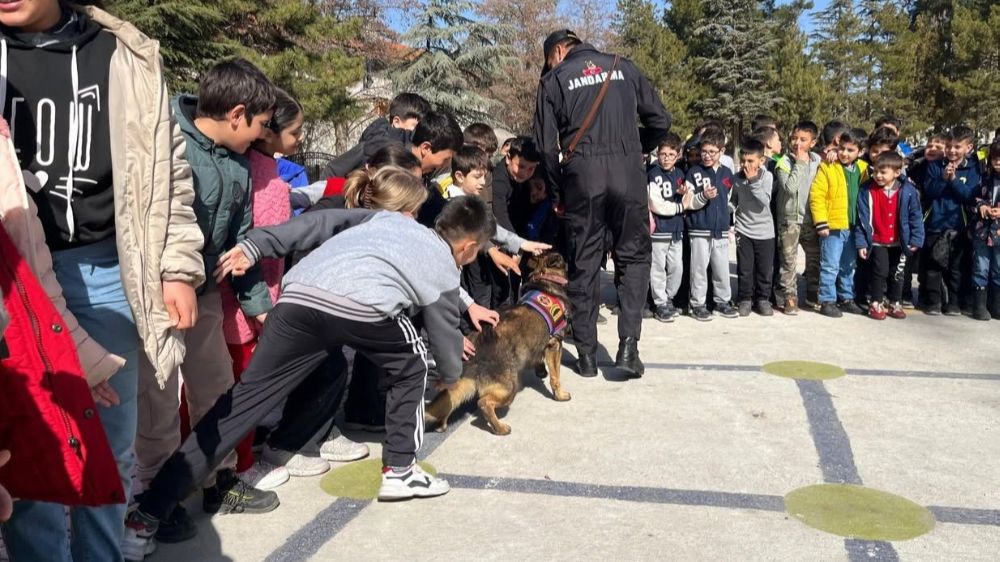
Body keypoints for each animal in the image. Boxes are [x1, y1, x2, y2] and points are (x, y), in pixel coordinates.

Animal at [426, 252, 576, 436]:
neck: (545, 277)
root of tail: (476, 345)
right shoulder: (555, 344)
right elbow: (556, 376)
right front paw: (559, 395)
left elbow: (538, 359)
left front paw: (540, 370)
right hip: (509, 386)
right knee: (483, 403)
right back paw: (499, 428)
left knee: (448, 400)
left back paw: (441, 424)